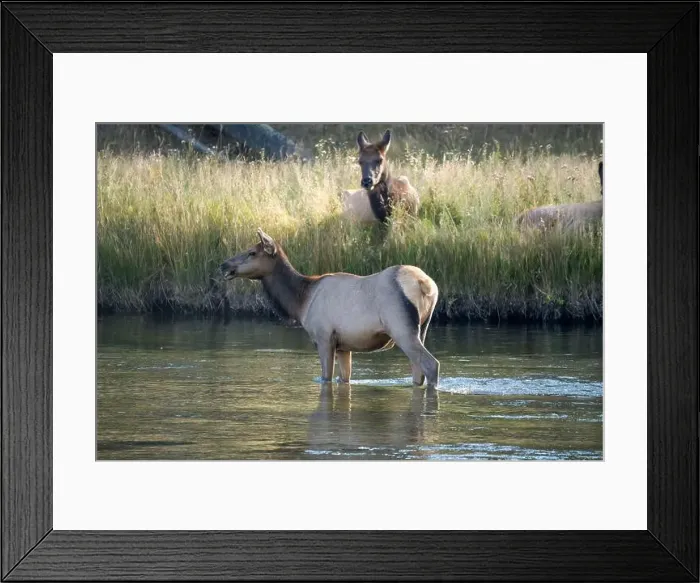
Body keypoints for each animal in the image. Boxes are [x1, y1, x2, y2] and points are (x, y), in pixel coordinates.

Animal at [220, 229, 440, 388]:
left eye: (252, 252)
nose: (224, 265)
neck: (301, 301)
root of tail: (425, 284)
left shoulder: (323, 336)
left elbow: (326, 377)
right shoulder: (344, 345)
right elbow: (344, 378)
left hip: (401, 327)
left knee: (431, 365)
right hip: (423, 327)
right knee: (418, 370)